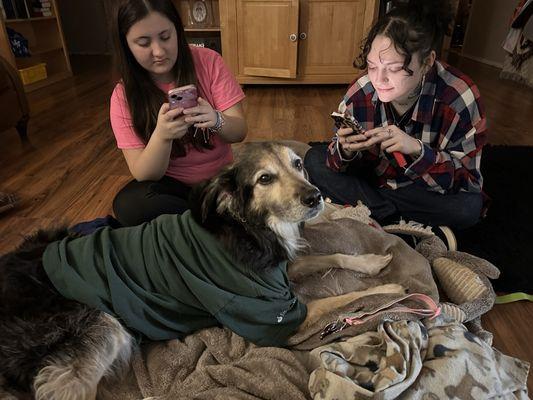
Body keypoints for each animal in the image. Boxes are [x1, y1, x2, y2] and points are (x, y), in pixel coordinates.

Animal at [0, 142, 394, 398]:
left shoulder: (282, 270)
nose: (315, 197)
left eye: (297, 164)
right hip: (103, 327)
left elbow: (334, 257)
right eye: (264, 179)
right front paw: (389, 291)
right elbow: (346, 297)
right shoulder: (273, 316)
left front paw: (371, 262)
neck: (248, 228)